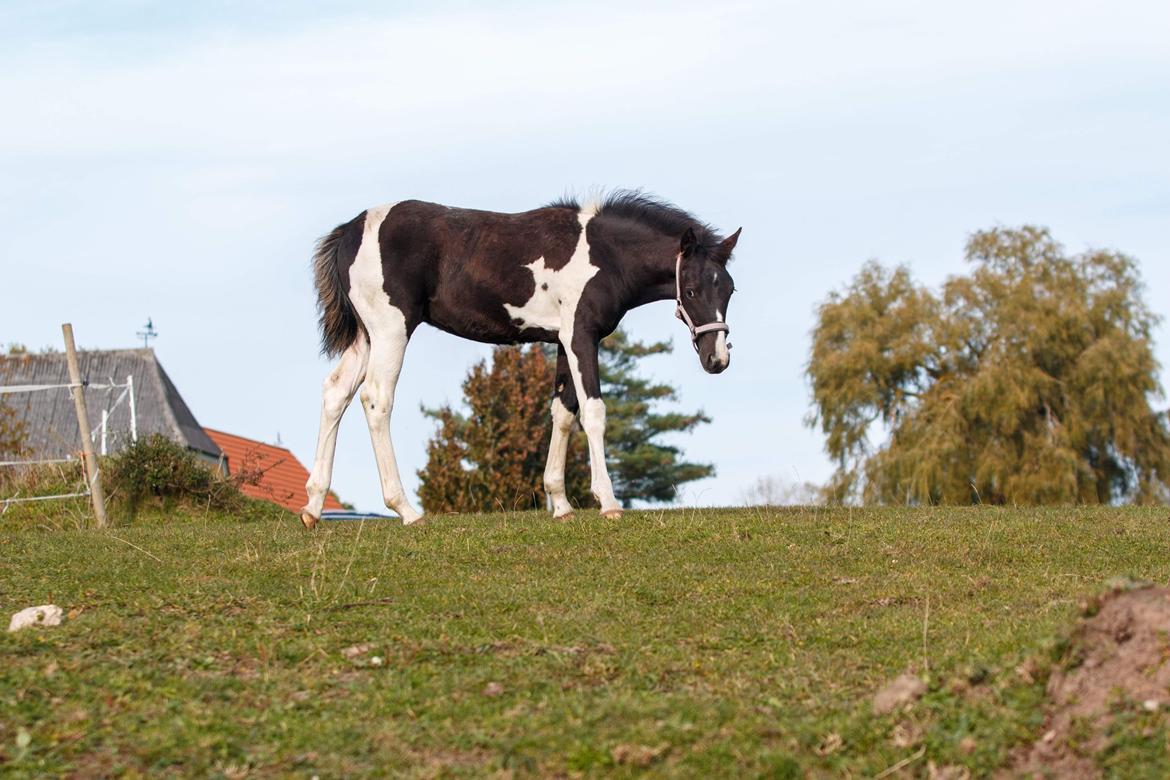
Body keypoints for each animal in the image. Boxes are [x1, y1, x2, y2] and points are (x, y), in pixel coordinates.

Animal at [301, 191, 739, 528]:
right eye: (692, 290)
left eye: (729, 289)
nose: (716, 359)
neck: (605, 255)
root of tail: (351, 230)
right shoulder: (582, 337)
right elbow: (593, 411)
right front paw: (608, 503)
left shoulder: (563, 342)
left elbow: (562, 412)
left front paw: (560, 505)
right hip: (391, 331)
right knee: (376, 399)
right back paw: (406, 511)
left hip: (366, 337)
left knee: (336, 392)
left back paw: (312, 507)